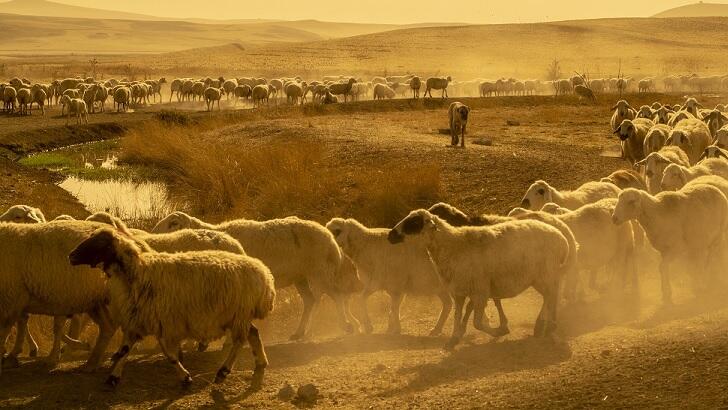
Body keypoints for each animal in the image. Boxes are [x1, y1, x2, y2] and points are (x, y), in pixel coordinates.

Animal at [0, 221, 115, 374]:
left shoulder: (12, 298)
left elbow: (6, 329)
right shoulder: (18, 298)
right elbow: (20, 323)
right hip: (94, 300)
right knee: (108, 328)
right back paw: (90, 363)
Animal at [151, 211, 362, 340]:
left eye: (173, 223)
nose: (152, 234)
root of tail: (331, 239)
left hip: (319, 271)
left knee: (335, 296)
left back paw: (347, 325)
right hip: (300, 277)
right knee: (311, 301)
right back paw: (300, 332)